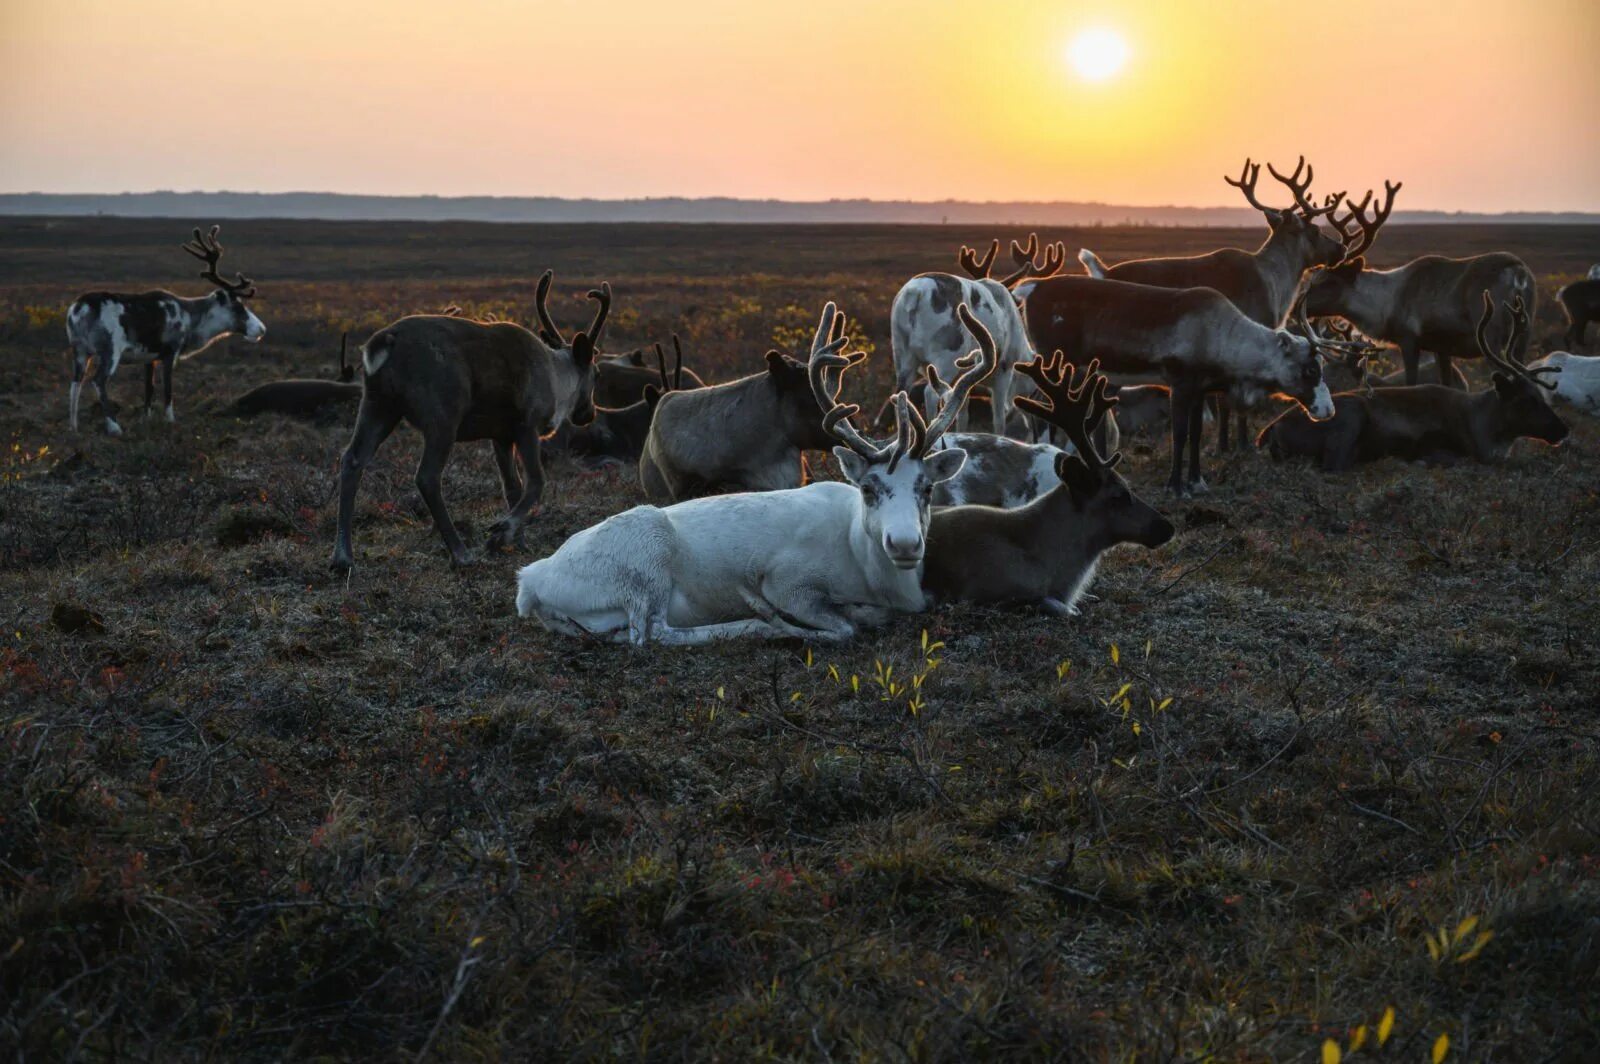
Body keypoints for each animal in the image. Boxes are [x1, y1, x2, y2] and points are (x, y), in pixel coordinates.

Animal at [66, 225, 265, 435]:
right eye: (238, 306)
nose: (261, 329)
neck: (191, 318)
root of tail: (78, 309)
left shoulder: (149, 358)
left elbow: (149, 389)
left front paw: (146, 420)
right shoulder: (170, 352)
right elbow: (168, 390)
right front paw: (170, 420)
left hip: (79, 350)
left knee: (75, 383)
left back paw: (73, 427)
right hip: (109, 351)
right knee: (98, 380)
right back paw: (114, 426)